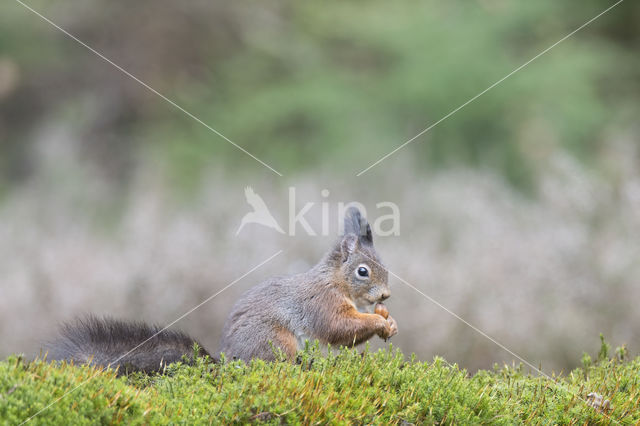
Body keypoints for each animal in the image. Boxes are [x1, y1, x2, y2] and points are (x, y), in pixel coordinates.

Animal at [43, 208, 396, 374]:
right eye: (363, 271)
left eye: (383, 263)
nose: (385, 297)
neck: (335, 281)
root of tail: (228, 362)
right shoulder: (321, 303)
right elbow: (339, 328)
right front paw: (379, 321)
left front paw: (389, 321)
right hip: (275, 340)